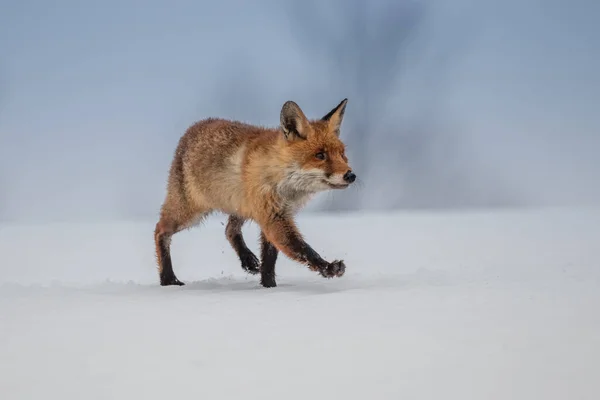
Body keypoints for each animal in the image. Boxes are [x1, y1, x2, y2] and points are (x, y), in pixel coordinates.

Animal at [155, 99, 356, 288]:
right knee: (160, 230)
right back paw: (168, 279)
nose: (351, 175)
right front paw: (328, 268)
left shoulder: (273, 215)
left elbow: (269, 261)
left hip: (241, 205)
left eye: (342, 154)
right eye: (320, 155)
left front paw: (268, 288)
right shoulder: (273, 217)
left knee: (229, 230)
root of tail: (193, 128)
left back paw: (248, 260)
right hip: (190, 213)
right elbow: (301, 249)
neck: (283, 180)